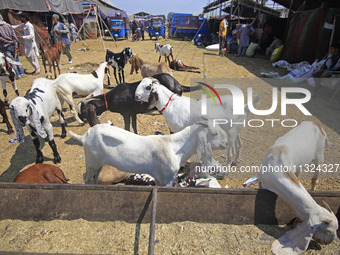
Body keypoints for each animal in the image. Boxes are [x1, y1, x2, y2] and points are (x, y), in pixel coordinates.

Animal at [68, 120, 228, 186]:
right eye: (214, 133)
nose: (226, 143)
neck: (175, 147)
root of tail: (84, 137)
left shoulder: (158, 177)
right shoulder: (168, 178)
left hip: (99, 163)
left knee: (93, 177)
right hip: (91, 161)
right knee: (86, 177)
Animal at [258, 121, 338, 253]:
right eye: (327, 231)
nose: (329, 242)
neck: (277, 163)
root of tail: (317, 124)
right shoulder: (262, 181)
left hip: (319, 154)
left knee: (315, 178)